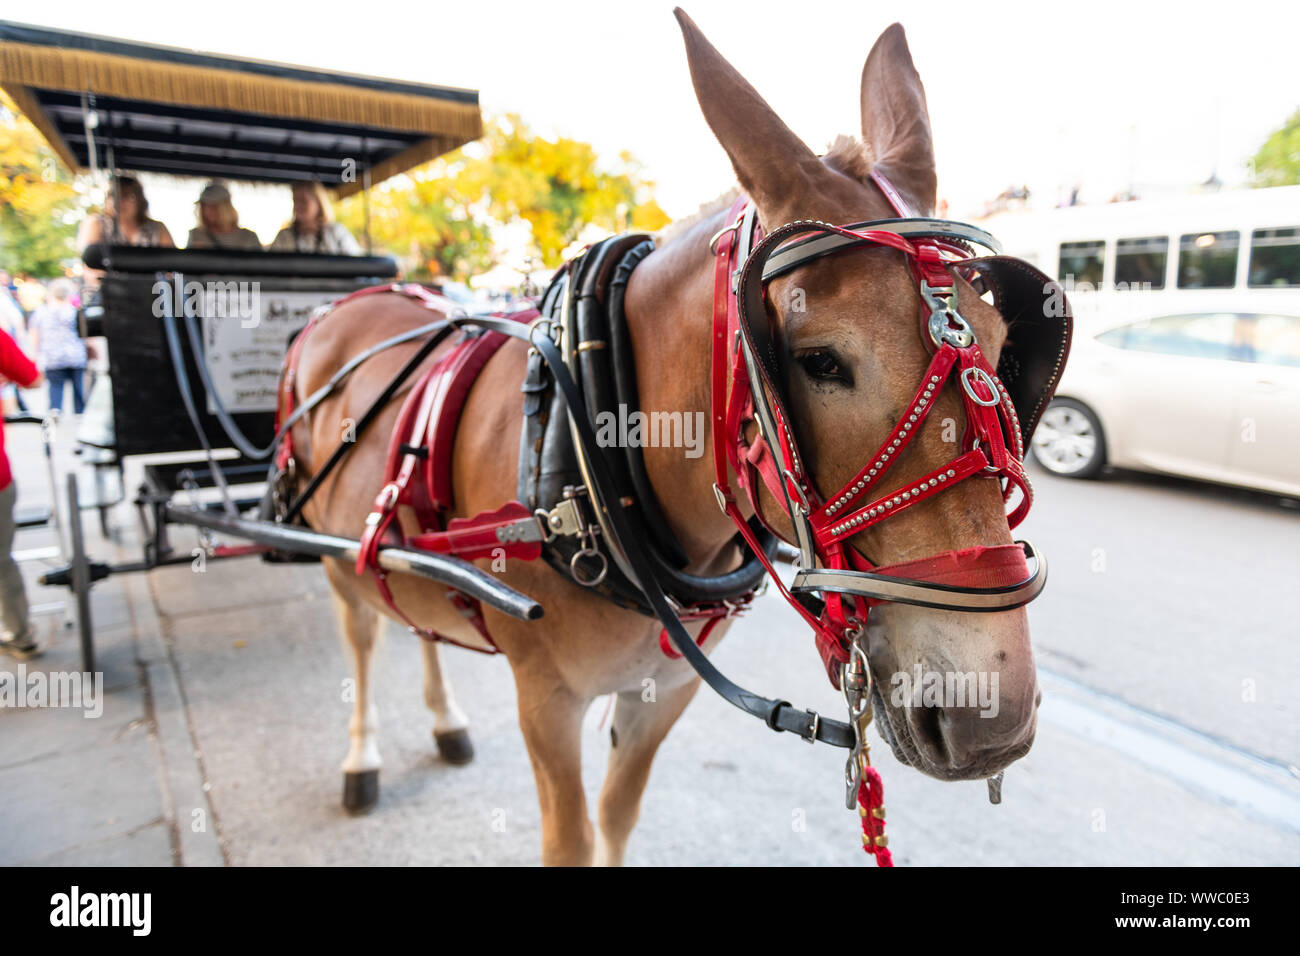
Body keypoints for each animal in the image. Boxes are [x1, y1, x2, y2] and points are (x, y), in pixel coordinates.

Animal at [280, 9, 1055, 866]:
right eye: (820, 360)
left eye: (1001, 343)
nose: (991, 716)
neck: (592, 455)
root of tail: (351, 304)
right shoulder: (547, 702)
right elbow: (573, 839)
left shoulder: (664, 693)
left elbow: (618, 816)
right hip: (334, 552)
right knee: (361, 635)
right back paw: (361, 756)